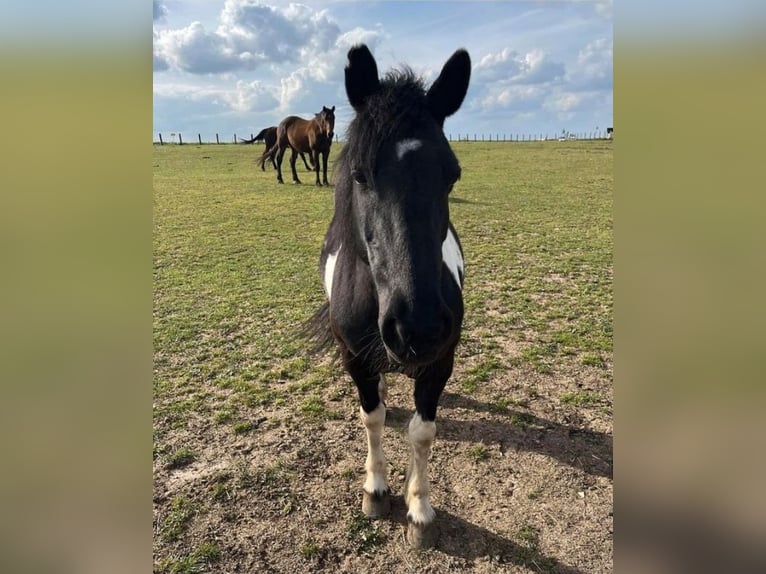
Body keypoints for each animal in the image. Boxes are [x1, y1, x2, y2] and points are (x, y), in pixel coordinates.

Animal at [308, 44, 472, 548]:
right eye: (360, 175)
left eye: (452, 176)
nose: (418, 326)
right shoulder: (354, 358)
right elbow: (373, 419)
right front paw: (376, 490)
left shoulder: (440, 362)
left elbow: (421, 432)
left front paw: (419, 509)